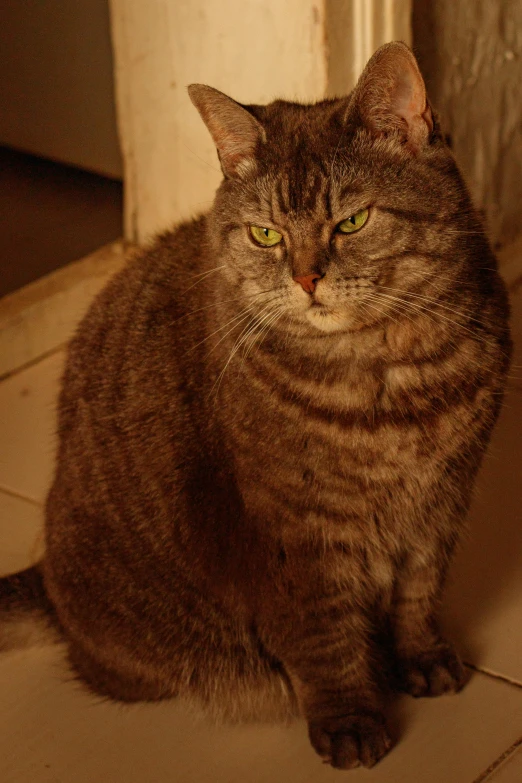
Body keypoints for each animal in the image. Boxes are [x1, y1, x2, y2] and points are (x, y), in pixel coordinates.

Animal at [0, 43, 510, 772]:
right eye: (266, 234)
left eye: (352, 220)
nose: (306, 277)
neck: (388, 378)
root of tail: (47, 582)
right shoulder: (291, 532)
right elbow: (324, 639)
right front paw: (351, 718)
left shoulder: (441, 503)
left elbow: (417, 594)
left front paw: (421, 657)